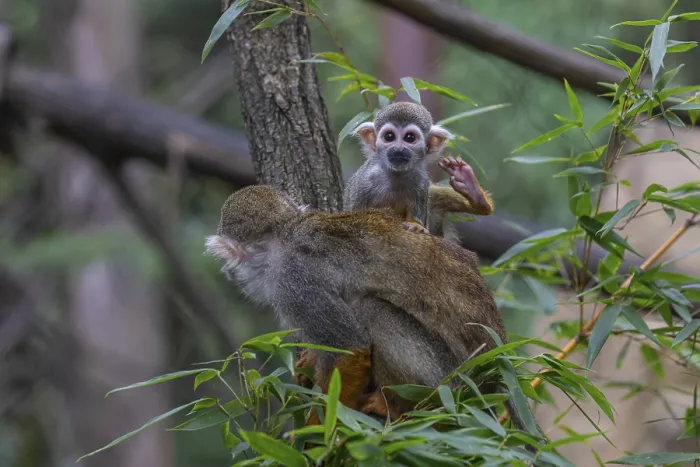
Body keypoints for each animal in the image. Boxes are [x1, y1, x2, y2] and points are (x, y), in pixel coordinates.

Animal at [205, 185, 542, 448]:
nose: (230, 274)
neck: (287, 235)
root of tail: (497, 361)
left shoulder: (295, 282)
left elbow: (350, 346)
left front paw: (319, 433)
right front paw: (308, 366)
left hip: (452, 380)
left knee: (373, 312)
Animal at [345, 101, 494, 237]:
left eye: (410, 138)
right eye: (389, 137)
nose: (398, 149)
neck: (396, 174)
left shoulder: (421, 181)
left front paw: (416, 225)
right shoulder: (365, 180)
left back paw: (474, 193)